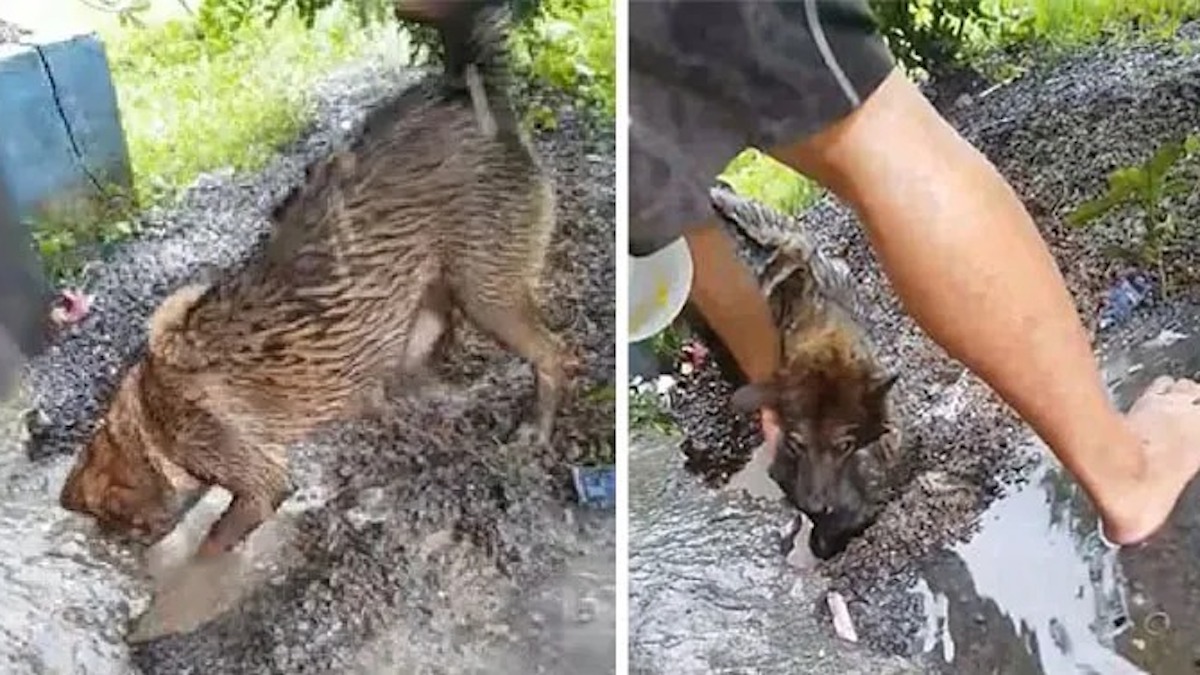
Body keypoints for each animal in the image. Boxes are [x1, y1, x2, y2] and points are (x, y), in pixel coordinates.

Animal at [58, 6, 573, 557]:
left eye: (114, 521)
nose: (130, 555)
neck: (151, 414)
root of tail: (459, 85)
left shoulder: (257, 483)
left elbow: (211, 547)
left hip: (488, 295)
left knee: (552, 357)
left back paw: (535, 427)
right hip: (427, 302)